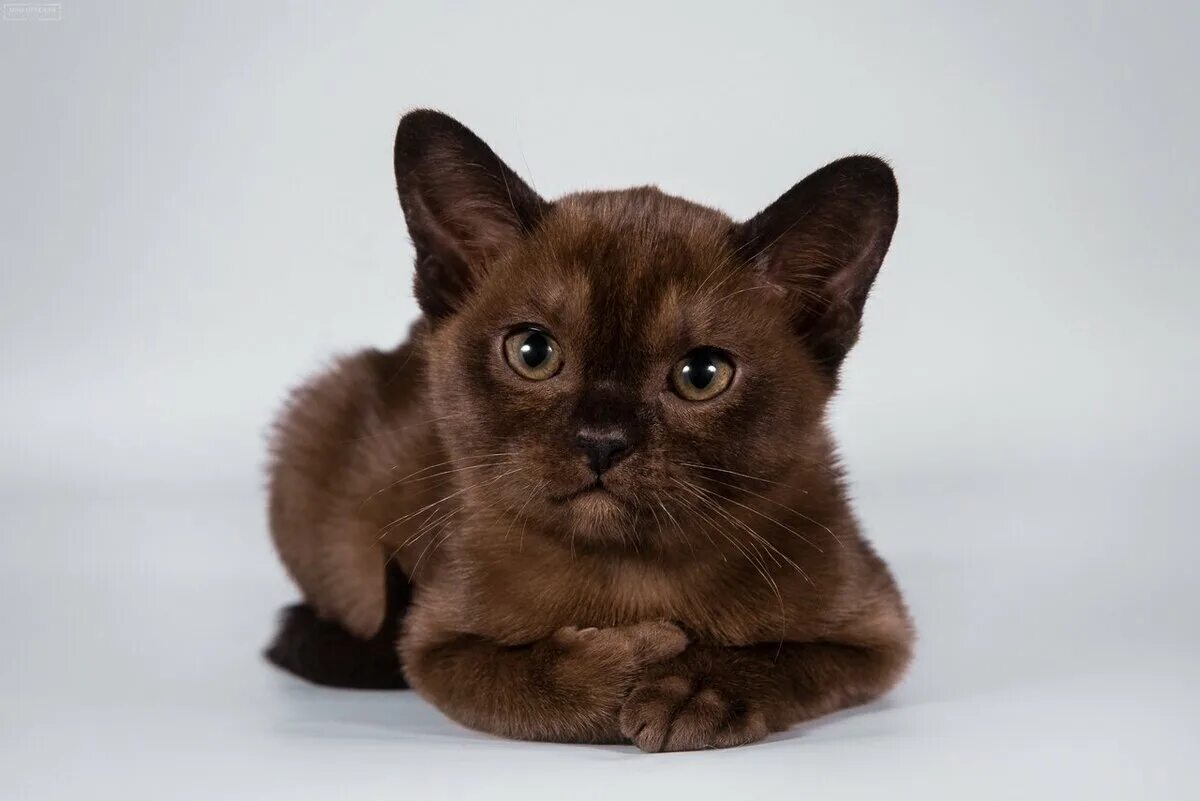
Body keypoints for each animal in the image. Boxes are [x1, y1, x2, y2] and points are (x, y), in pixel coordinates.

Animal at [267, 107, 912, 753]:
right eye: (532, 353)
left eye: (702, 375)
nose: (601, 441)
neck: (631, 578)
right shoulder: (433, 642)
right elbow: (524, 680)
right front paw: (637, 660)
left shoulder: (880, 634)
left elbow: (781, 657)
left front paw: (692, 691)